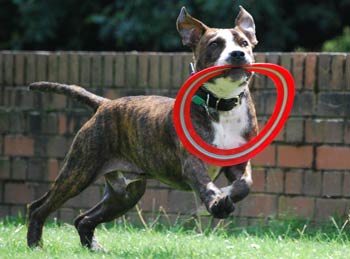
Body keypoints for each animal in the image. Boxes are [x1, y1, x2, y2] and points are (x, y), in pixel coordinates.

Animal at [26, 5, 258, 250]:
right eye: (215, 44)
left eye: (244, 43)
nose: (237, 54)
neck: (221, 104)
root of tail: (104, 104)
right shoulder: (192, 163)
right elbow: (205, 184)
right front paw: (216, 202)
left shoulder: (239, 162)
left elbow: (245, 184)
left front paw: (225, 195)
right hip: (79, 171)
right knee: (39, 206)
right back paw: (35, 244)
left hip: (125, 193)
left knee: (84, 218)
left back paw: (94, 248)